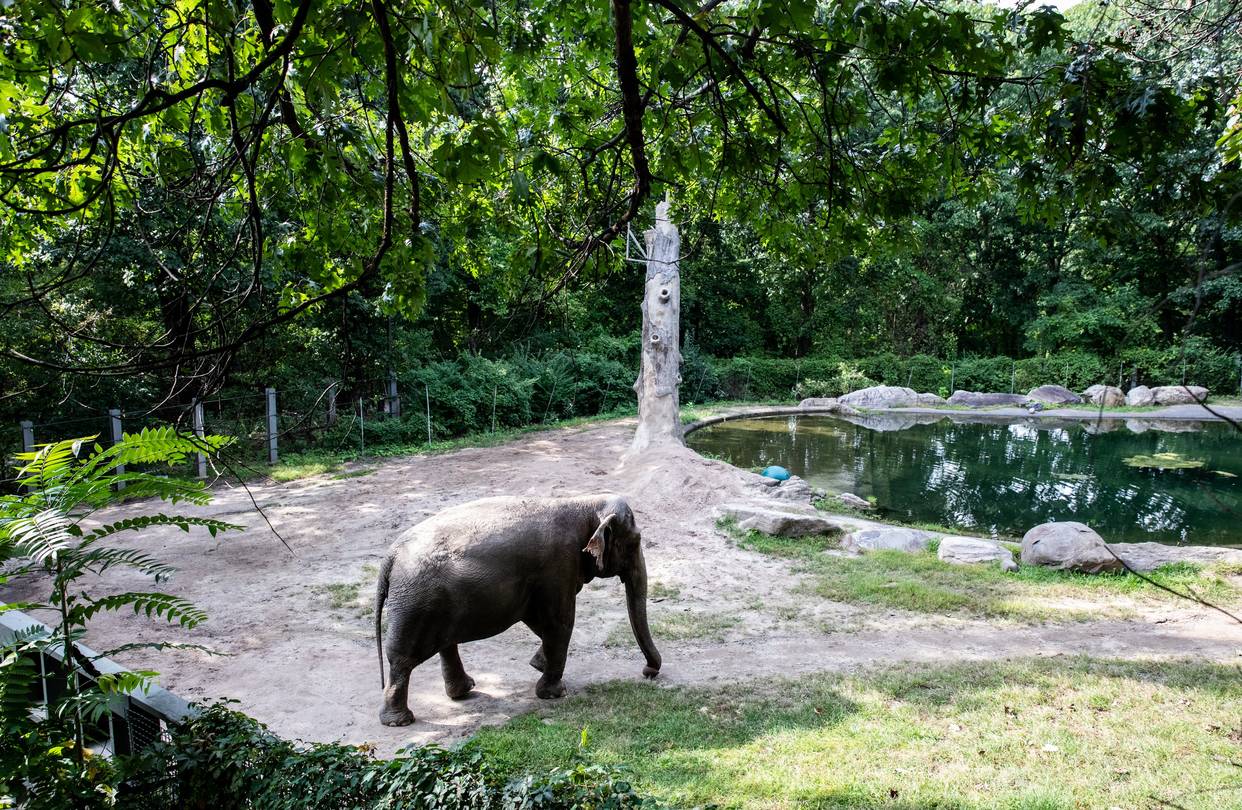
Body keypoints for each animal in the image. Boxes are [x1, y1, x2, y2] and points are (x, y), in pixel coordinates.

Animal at [374, 494, 662, 726]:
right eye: (635, 543)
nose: (648, 673)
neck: (585, 502)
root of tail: (390, 557)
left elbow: (540, 621)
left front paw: (537, 664)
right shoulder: (559, 566)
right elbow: (560, 621)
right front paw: (554, 693)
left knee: (445, 643)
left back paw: (463, 691)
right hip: (417, 604)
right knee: (403, 659)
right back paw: (399, 721)